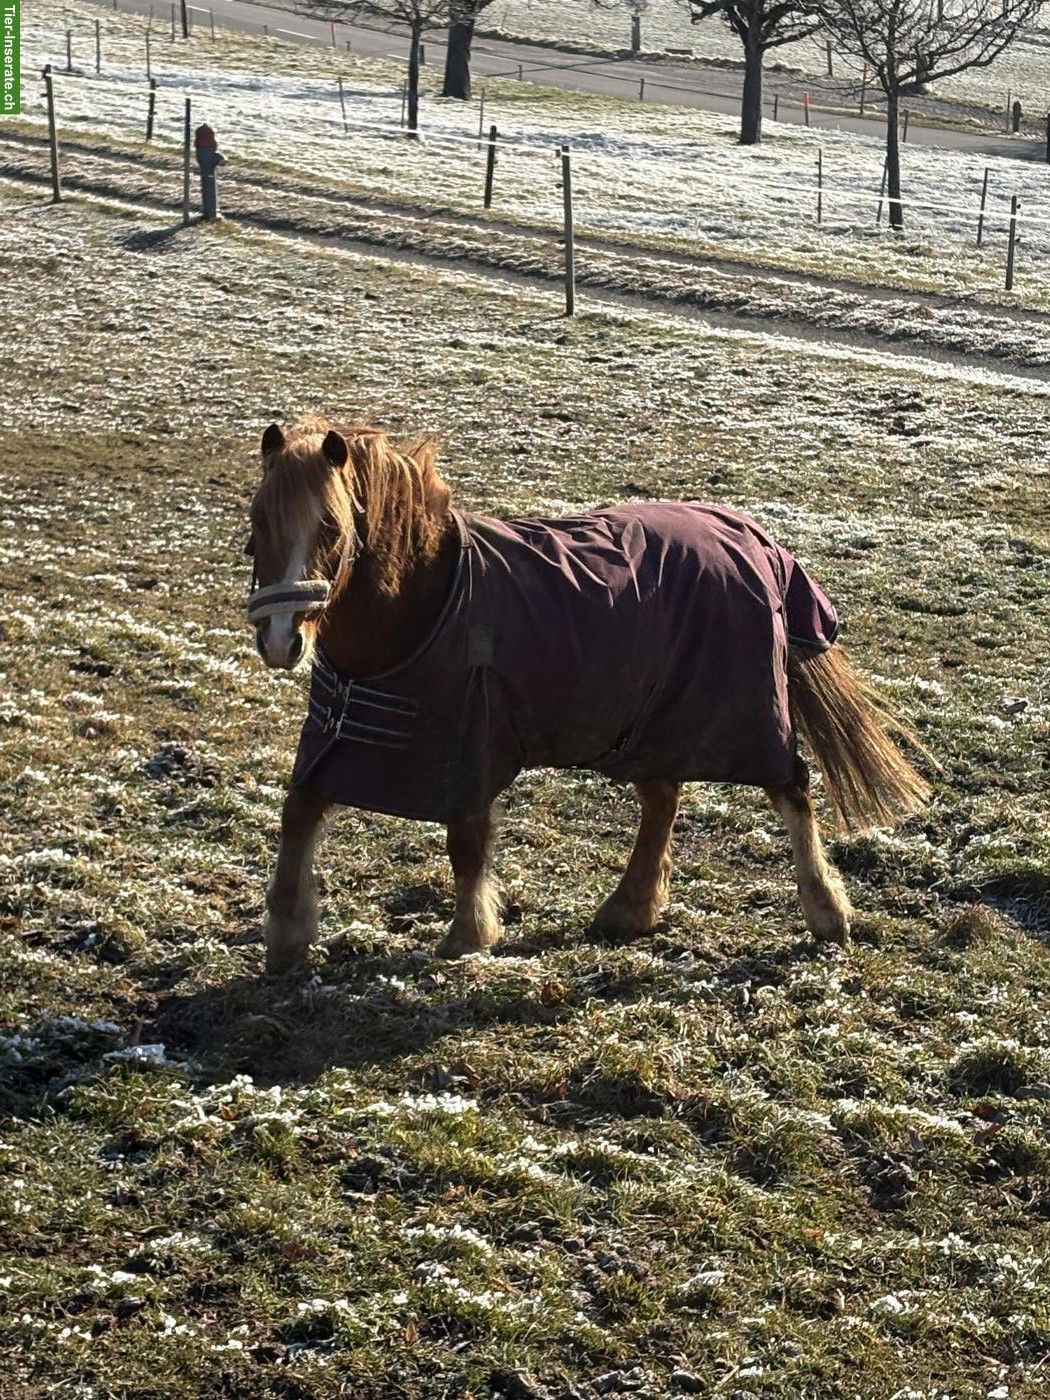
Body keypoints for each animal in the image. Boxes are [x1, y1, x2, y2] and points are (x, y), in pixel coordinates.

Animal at [245, 415, 930, 975]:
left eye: (331, 526)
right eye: (257, 520)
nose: (280, 640)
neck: (424, 604)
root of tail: (752, 536)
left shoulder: (470, 747)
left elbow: (466, 841)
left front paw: (468, 935)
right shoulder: (338, 739)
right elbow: (298, 811)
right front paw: (287, 935)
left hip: (747, 720)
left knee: (791, 789)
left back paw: (826, 914)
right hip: (652, 724)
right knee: (663, 801)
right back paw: (629, 910)